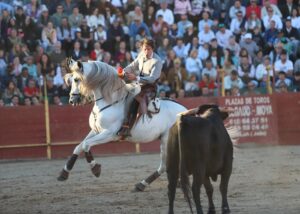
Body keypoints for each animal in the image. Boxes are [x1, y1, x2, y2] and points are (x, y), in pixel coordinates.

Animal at [57, 58, 186, 191]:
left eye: (76, 79)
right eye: (70, 80)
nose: (72, 100)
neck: (109, 101)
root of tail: (184, 110)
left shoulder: (109, 134)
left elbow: (86, 145)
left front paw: (96, 169)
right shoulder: (96, 131)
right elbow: (79, 146)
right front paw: (64, 173)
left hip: (166, 140)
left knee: (165, 165)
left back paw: (145, 184)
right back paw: (146, 184)